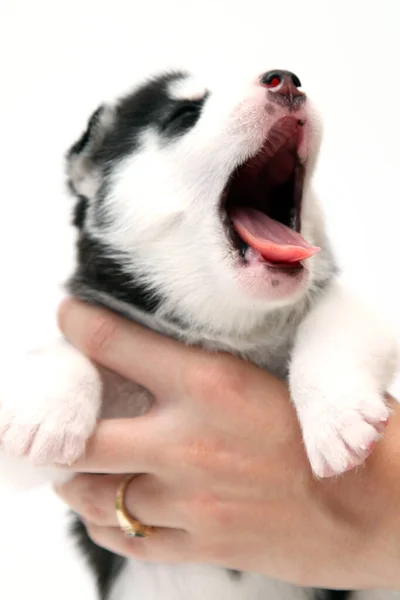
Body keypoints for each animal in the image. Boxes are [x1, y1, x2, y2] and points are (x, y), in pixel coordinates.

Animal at [0, 67, 396, 600]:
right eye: (184, 114)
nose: (285, 79)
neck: (233, 327)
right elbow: (62, 353)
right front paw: (45, 411)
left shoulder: (348, 305)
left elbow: (334, 320)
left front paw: (337, 417)